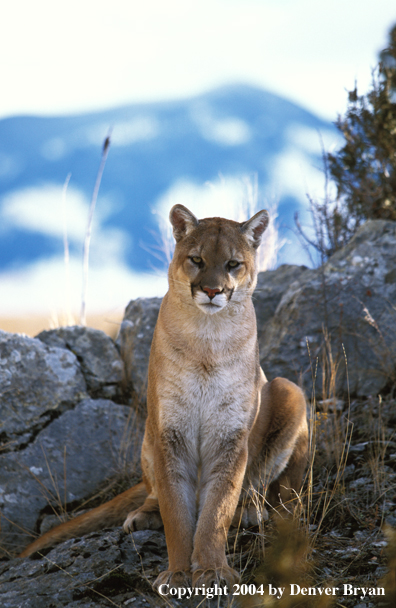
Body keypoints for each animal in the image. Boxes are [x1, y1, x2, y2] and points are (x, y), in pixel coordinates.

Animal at [19, 207, 310, 592]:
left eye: (233, 264)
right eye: (197, 260)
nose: (212, 290)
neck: (207, 337)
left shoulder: (230, 435)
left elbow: (218, 508)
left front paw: (213, 570)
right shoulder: (170, 431)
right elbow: (175, 509)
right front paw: (177, 573)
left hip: (289, 390)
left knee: (262, 481)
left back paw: (248, 508)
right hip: (149, 430)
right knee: (152, 490)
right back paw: (143, 514)